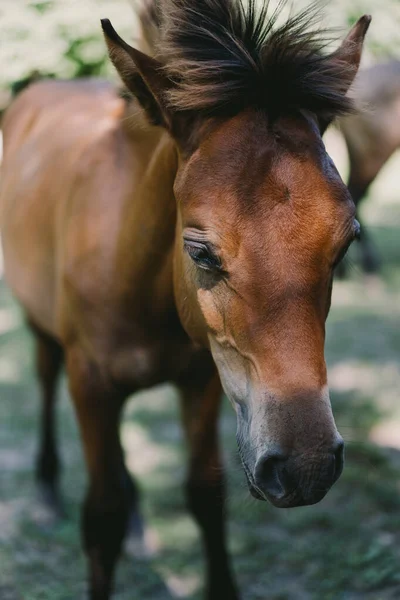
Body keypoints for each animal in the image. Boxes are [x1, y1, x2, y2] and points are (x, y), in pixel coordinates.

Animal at [0, 1, 368, 600]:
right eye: (200, 251)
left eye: (346, 243)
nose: (308, 465)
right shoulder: (91, 384)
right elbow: (99, 517)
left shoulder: (203, 378)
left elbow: (205, 495)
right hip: (42, 328)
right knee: (45, 376)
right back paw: (49, 488)